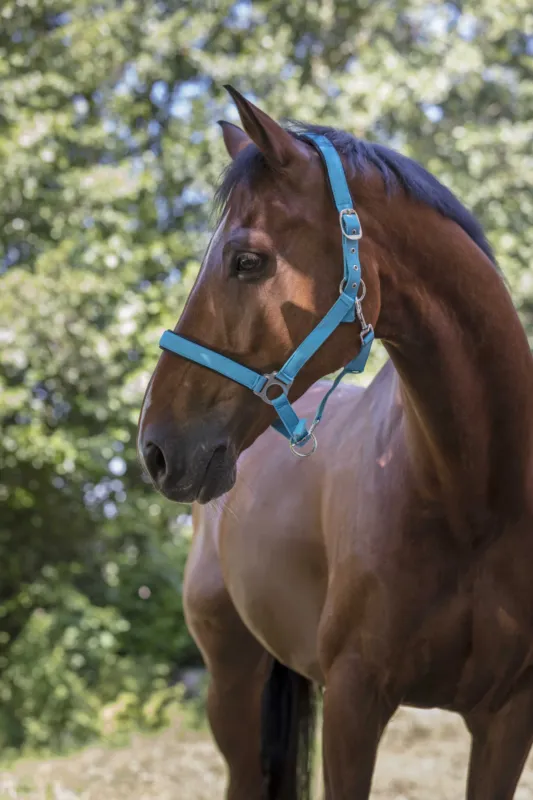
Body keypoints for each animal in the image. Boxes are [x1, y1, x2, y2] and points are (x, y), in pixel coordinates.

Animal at [138, 86, 533, 799]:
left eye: (247, 260)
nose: (154, 448)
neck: (475, 501)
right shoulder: (354, 704)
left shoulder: (508, 718)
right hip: (231, 683)